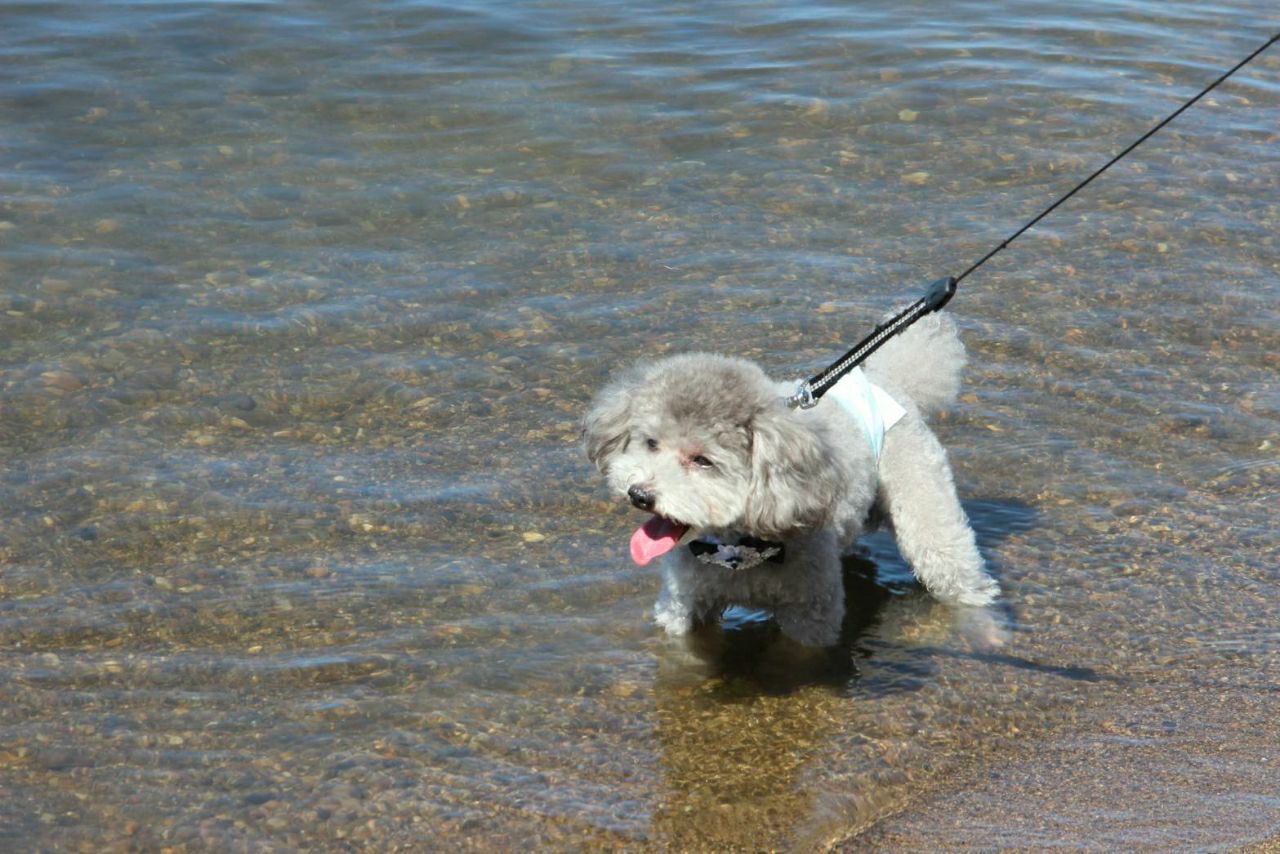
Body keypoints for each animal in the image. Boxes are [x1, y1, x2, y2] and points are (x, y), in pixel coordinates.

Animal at [586, 313, 1003, 647]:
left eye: (702, 460)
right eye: (650, 443)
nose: (639, 494)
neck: (738, 548)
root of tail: (889, 382)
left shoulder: (811, 616)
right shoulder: (683, 605)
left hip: (926, 507)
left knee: (956, 572)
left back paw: (987, 630)